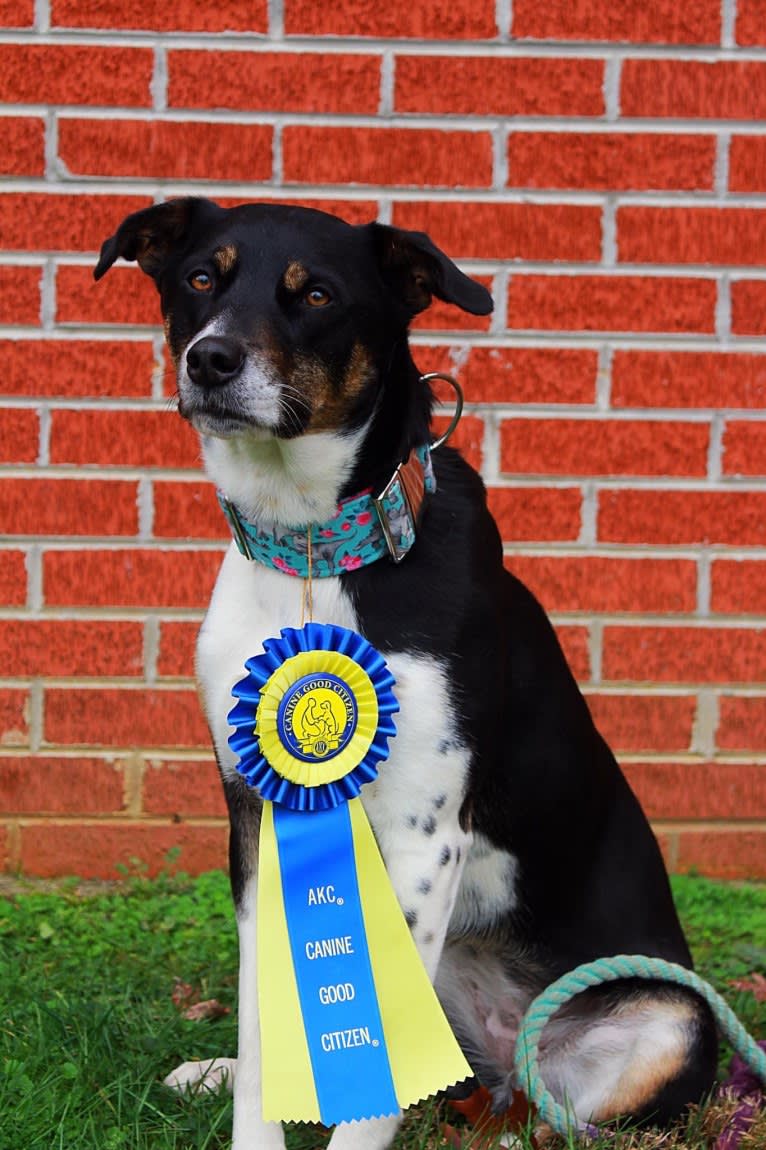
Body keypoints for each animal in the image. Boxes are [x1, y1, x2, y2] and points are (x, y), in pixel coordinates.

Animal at [95, 202, 717, 1145]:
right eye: (201, 277)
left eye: (316, 293)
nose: (210, 359)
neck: (313, 555)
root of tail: (501, 1062)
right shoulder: (255, 817)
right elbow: (263, 1016)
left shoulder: (426, 836)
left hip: (669, 1024)